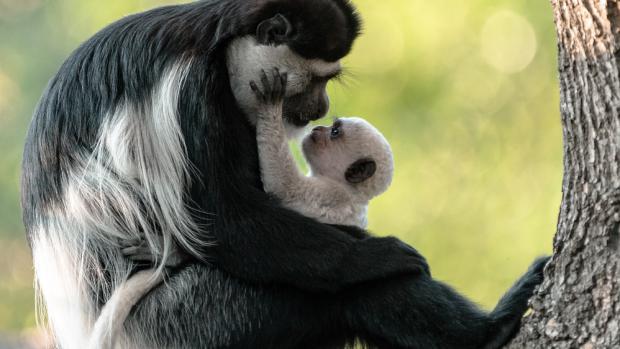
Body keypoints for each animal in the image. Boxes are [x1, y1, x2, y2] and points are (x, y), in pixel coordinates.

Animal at [249, 68, 394, 228]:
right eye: (332, 126)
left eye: (334, 132)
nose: (317, 128)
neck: (352, 191)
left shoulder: (331, 194)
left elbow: (286, 186)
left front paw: (272, 104)